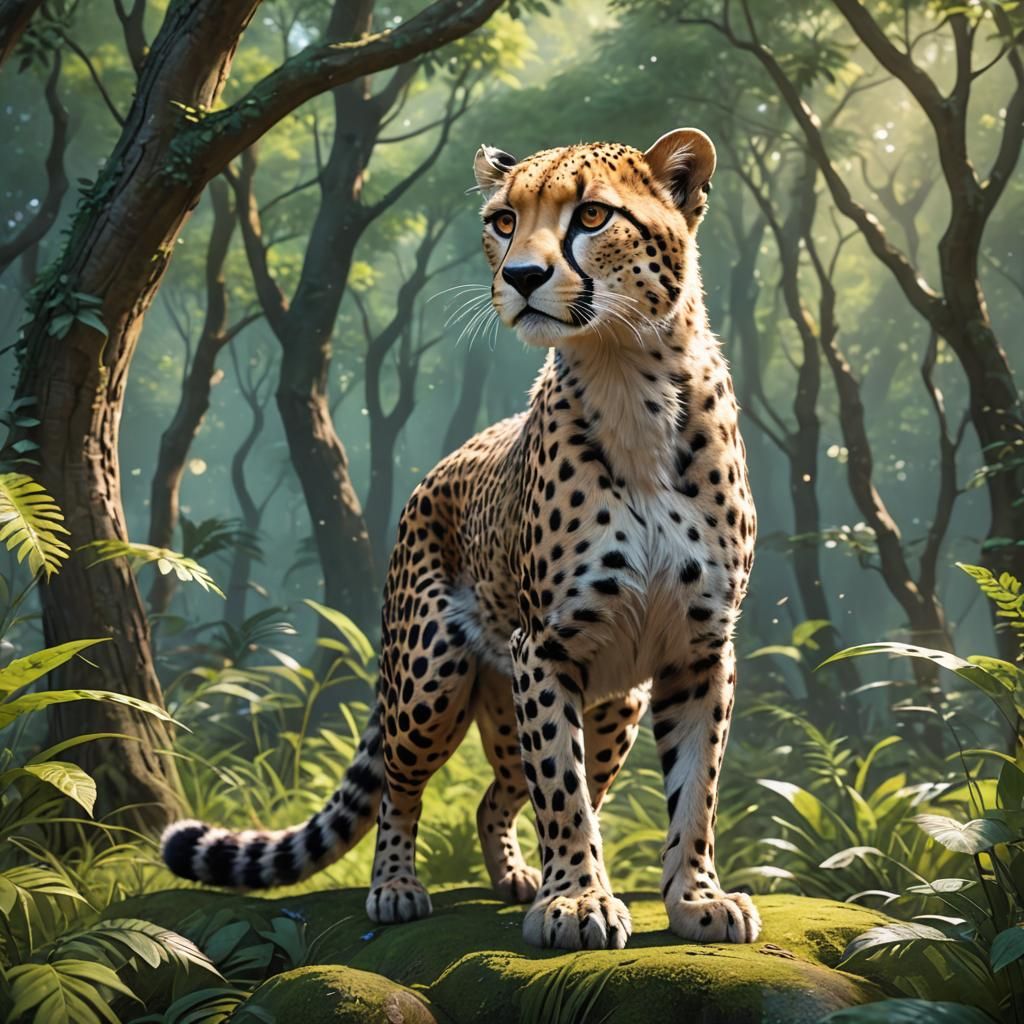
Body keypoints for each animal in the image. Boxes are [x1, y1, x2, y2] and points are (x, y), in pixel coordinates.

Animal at [162, 127, 760, 951]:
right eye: (504, 221)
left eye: (593, 215)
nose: (522, 276)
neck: (628, 378)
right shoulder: (547, 646)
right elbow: (562, 790)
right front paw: (578, 901)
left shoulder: (700, 650)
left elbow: (695, 788)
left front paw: (697, 896)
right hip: (429, 679)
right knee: (402, 787)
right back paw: (396, 888)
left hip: (611, 706)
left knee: (497, 793)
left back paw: (517, 876)